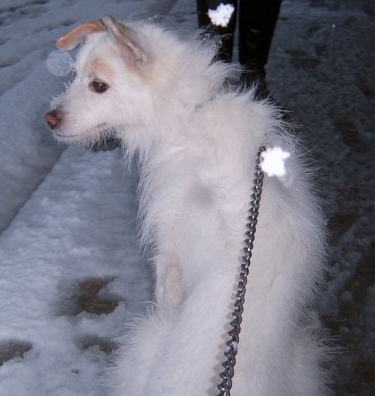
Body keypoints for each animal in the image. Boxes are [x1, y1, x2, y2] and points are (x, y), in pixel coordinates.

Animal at [45, 15, 330, 396]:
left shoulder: (168, 256)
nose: (49, 119)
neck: (189, 113)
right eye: (74, 74)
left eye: (99, 86)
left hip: (145, 339)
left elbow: (165, 293)